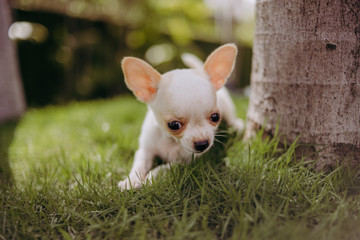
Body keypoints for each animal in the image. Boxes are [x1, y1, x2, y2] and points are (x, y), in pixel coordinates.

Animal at [119, 43, 243, 189]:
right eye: (174, 125)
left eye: (215, 117)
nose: (202, 144)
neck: (170, 141)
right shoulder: (145, 150)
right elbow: (139, 165)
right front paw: (131, 181)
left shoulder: (184, 161)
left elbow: (163, 168)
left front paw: (150, 178)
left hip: (228, 109)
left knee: (233, 120)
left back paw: (238, 125)